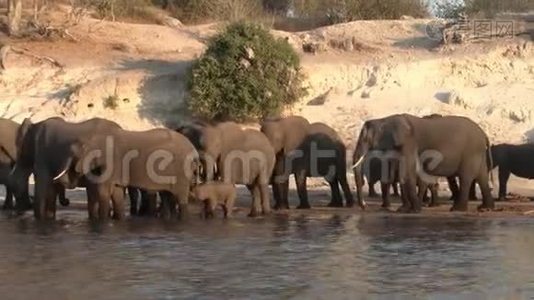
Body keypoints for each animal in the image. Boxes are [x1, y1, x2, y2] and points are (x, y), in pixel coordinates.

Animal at [354, 113, 496, 213]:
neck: (384, 119)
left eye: (364, 138)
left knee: (466, 178)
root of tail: (484, 134)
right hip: (477, 153)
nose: (364, 207)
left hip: (470, 152)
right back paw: (485, 208)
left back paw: (457, 209)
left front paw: (415, 210)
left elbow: (408, 173)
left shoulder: (409, 143)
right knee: (482, 177)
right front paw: (405, 210)